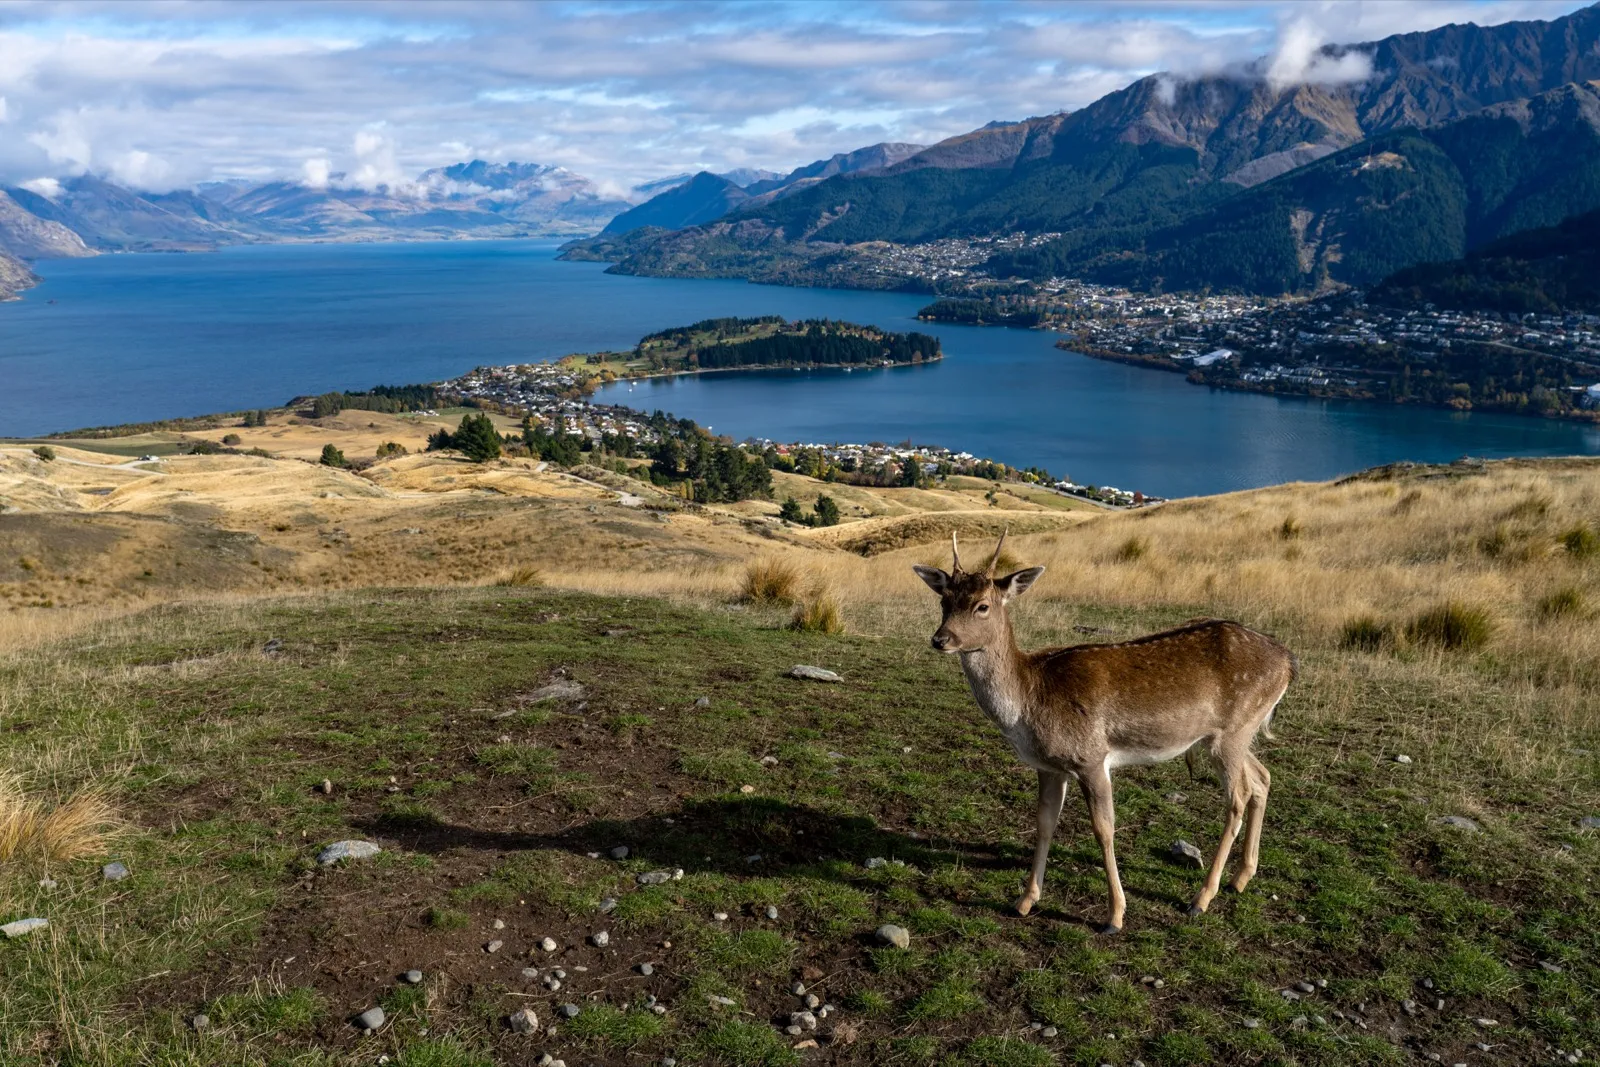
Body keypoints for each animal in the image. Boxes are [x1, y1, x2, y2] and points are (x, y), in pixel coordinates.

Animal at [913, 532, 1295, 934]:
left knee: (1238, 796)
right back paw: (1241, 878)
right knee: (1262, 778)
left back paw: (1201, 898)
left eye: (983, 606)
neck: (1030, 700)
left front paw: (1114, 916)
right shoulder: (1048, 767)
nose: (941, 639)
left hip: (1232, 733)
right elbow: (1044, 823)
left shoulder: (1091, 757)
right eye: (944, 600)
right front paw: (1025, 901)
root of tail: (1289, 662)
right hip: (1231, 734)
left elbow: (1104, 828)